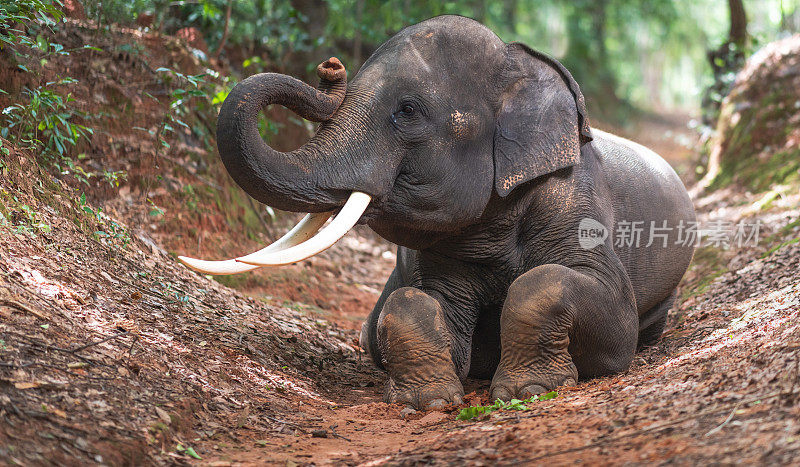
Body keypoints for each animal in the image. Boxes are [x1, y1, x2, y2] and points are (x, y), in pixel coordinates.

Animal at [180, 13, 692, 410]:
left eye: (407, 110)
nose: (330, 67)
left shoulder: (575, 203)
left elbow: (600, 313)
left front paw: (527, 392)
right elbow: (412, 301)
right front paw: (426, 402)